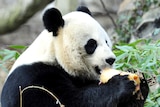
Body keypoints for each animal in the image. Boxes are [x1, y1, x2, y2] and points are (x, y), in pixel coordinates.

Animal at [0, 6, 149, 107]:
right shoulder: (33, 80)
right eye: (91, 44)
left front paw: (140, 82)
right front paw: (121, 83)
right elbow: (71, 101)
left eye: (106, 41)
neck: (53, 54)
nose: (111, 59)